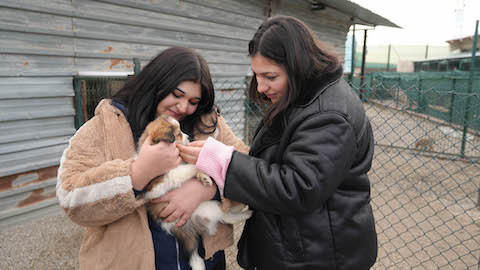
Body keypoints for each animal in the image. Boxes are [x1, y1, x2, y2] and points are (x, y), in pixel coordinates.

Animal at [137, 115, 253, 270]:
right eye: (178, 134)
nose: (188, 136)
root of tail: (189, 228)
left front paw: (203, 175)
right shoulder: (159, 183)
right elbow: (185, 170)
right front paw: (199, 167)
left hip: (208, 205)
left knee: (226, 215)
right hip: (207, 209)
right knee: (224, 215)